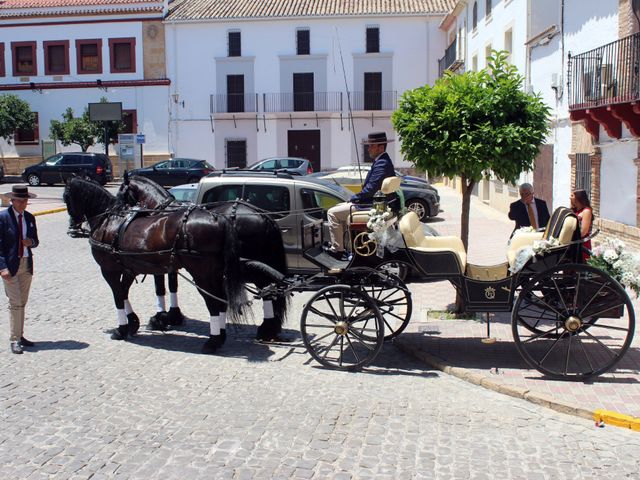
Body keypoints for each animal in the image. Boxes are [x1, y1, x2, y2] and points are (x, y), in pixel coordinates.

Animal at [64, 176, 245, 352]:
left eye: (66, 198)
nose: (72, 228)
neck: (108, 221)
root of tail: (219, 218)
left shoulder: (109, 269)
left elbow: (119, 296)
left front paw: (122, 329)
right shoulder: (130, 269)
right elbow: (125, 293)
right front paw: (134, 323)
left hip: (202, 274)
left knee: (213, 302)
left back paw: (213, 341)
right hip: (215, 272)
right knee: (222, 299)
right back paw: (220, 336)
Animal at [117, 172, 290, 342]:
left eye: (120, 194)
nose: (120, 214)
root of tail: (264, 216)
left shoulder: (157, 260)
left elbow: (160, 288)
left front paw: (160, 318)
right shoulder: (171, 261)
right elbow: (173, 285)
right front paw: (174, 316)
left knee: (265, 286)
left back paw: (266, 329)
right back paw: (270, 328)